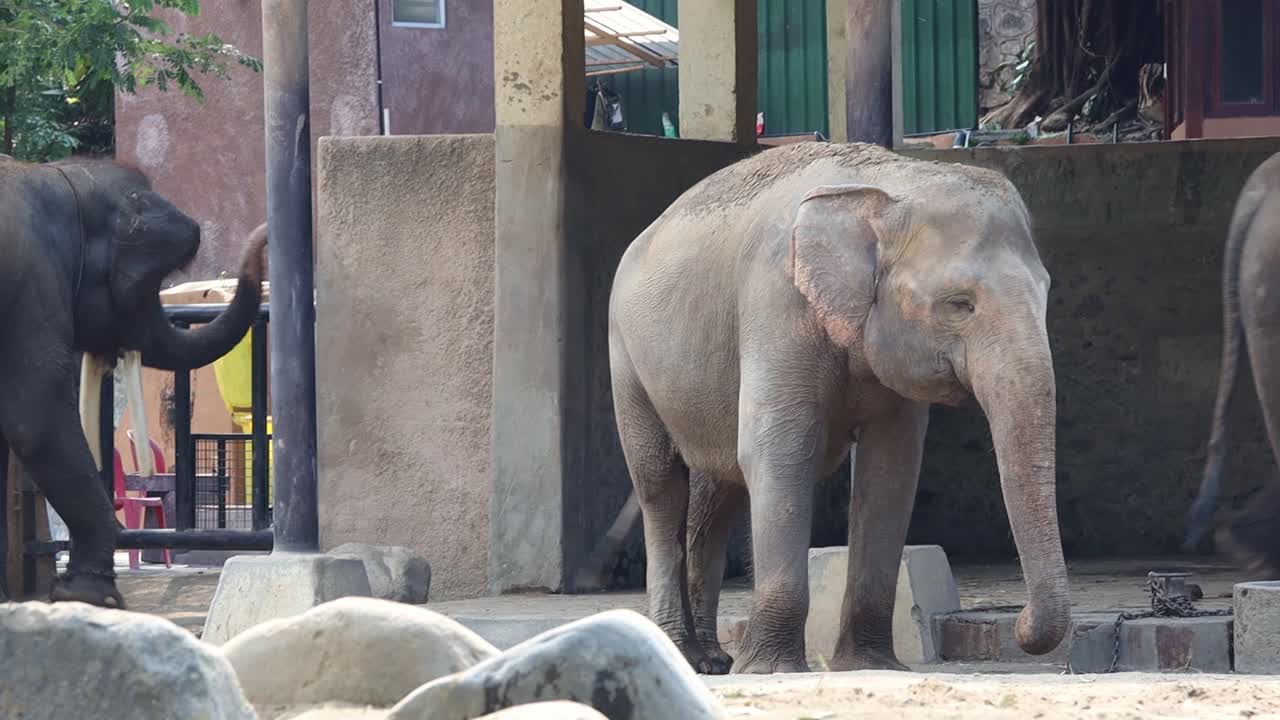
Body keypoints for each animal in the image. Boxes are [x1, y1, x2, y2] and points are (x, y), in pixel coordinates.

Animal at [0, 156, 267, 608]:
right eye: (151, 282)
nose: (266, 234)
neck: (61, 180)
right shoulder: (32, 288)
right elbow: (36, 421)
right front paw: (92, 597)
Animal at [607, 141, 1069, 675]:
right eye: (959, 304)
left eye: (1046, 292)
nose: (1020, 625)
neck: (889, 184)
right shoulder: (776, 302)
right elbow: (778, 451)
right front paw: (772, 670)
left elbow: (891, 466)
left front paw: (874, 665)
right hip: (627, 361)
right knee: (660, 485)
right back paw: (683, 654)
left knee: (717, 491)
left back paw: (713, 662)